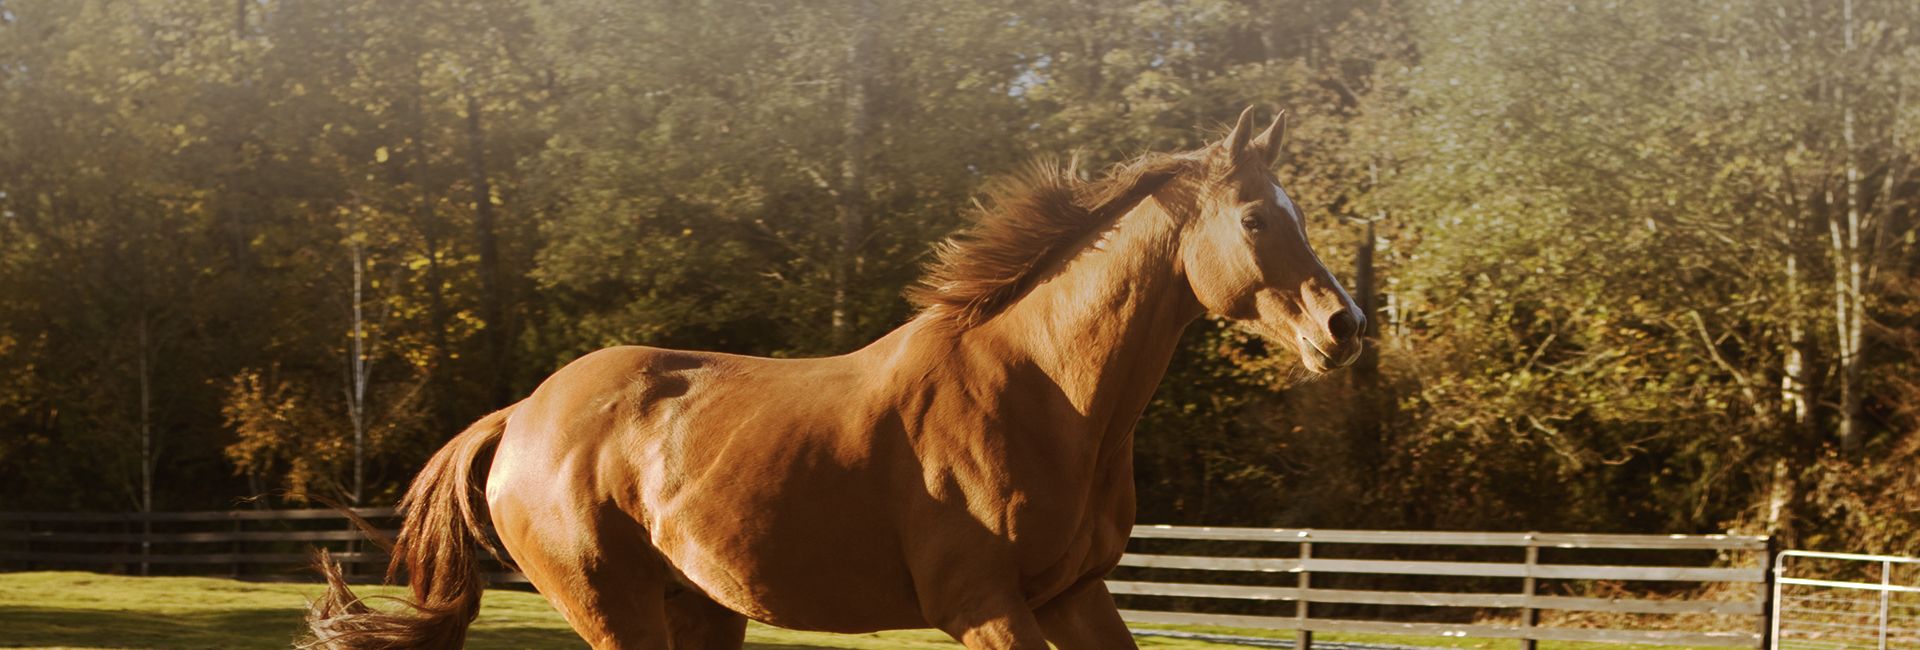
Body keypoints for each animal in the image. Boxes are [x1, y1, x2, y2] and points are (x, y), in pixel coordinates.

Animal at [305, 106, 1363, 650]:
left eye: (1298, 211)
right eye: (1258, 219)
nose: (1344, 327)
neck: (1043, 394)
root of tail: (521, 415)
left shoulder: (1074, 595)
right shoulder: (983, 607)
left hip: (703, 610)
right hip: (613, 609)